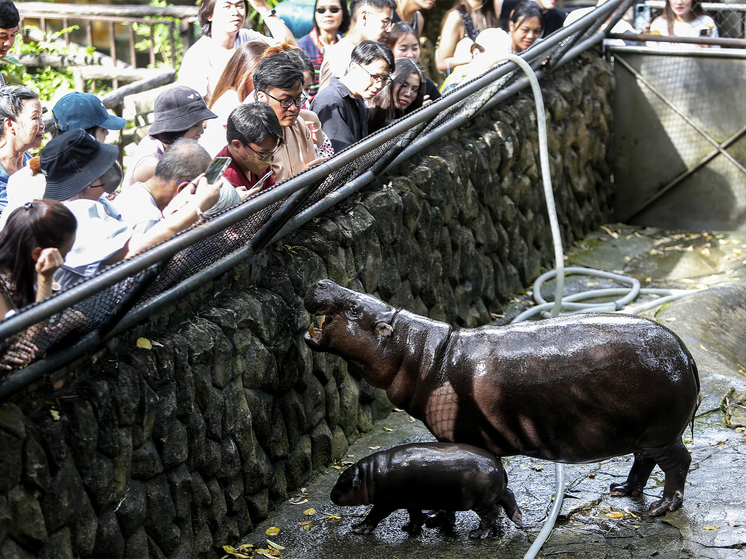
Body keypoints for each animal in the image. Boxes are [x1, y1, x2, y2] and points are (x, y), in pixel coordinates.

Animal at [302, 278, 696, 520]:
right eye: (355, 291)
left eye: (356, 309)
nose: (320, 281)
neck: (421, 355)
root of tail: (686, 354)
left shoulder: (460, 439)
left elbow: (452, 478)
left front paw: (437, 518)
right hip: (643, 433)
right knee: (643, 461)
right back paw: (622, 491)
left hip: (660, 432)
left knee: (678, 463)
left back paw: (661, 507)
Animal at [328, 442, 520, 540]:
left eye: (343, 484)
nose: (331, 496)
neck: (368, 475)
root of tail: (499, 465)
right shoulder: (411, 500)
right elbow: (415, 515)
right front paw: (409, 528)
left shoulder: (385, 502)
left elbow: (374, 515)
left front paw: (358, 528)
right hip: (495, 493)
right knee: (509, 495)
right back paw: (519, 519)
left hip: (482, 501)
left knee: (491, 514)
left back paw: (477, 534)